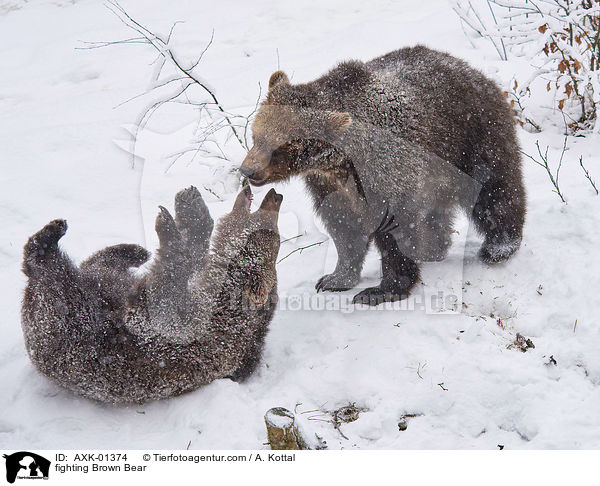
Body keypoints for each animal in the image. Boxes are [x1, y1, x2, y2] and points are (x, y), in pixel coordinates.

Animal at [239, 44, 524, 304]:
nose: (247, 170)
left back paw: (499, 247)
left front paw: (381, 290)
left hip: (473, 138)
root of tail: (474, 71)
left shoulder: (386, 172)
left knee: (495, 190)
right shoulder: (329, 183)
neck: (344, 161)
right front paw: (335, 278)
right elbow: (343, 226)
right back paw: (433, 248)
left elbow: (394, 230)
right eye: (256, 136)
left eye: (280, 146)